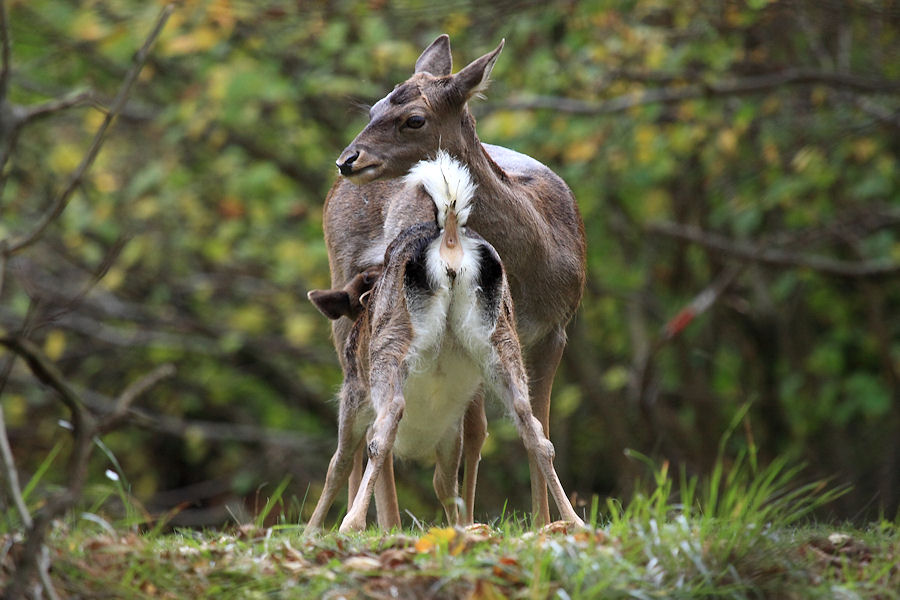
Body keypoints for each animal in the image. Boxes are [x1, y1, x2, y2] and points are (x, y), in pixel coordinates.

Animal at [320, 35, 588, 528]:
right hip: (345, 280)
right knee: (364, 413)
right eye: (373, 108)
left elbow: (536, 423)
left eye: (414, 118)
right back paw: (380, 522)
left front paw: (545, 521)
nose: (347, 159)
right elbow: (479, 430)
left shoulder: (555, 328)